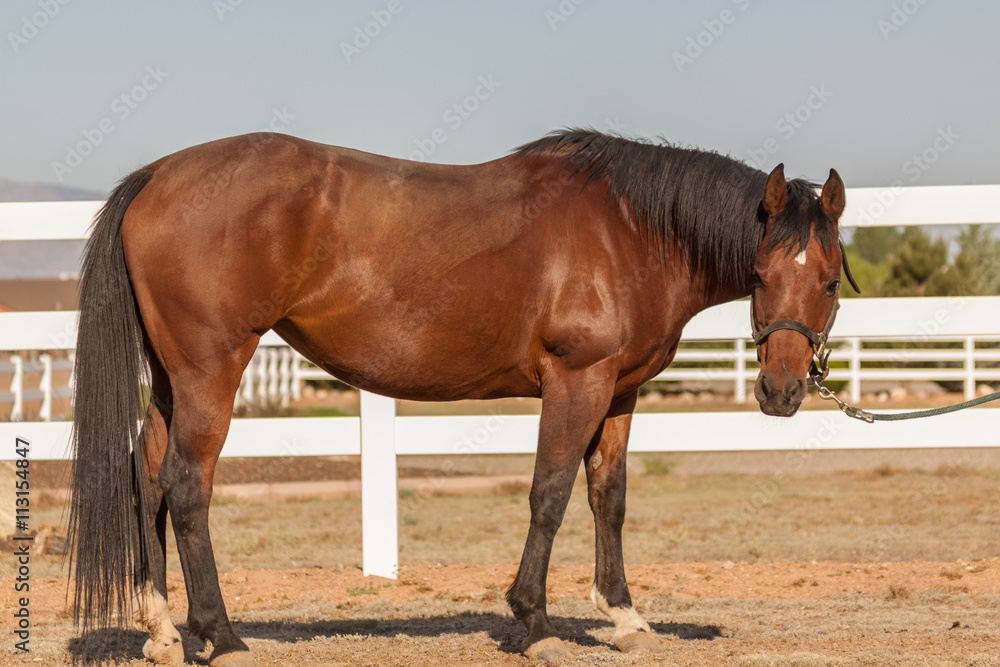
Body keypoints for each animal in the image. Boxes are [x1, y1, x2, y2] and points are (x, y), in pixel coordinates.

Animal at [69, 129, 854, 665]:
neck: (630, 232)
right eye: (761, 273)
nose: (782, 391)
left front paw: (626, 617)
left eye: (829, 278)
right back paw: (223, 636)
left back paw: (163, 631)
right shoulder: (577, 382)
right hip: (211, 372)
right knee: (188, 485)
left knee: (149, 476)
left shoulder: (619, 392)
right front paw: (534, 624)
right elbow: (549, 493)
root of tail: (158, 175)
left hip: (173, 378)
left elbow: (609, 497)